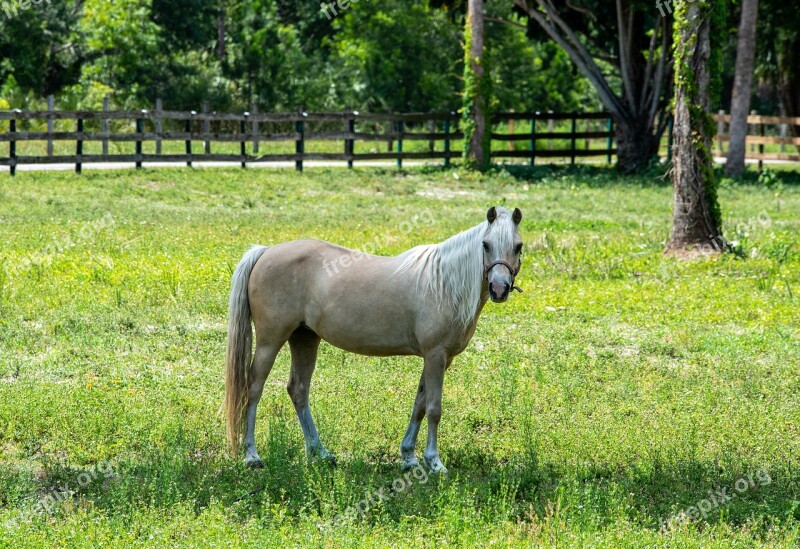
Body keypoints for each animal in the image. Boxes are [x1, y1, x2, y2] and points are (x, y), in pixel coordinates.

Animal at [225, 204, 524, 470]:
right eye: (485, 244)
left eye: (518, 246)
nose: (499, 288)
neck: (443, 283)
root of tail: (265, 251)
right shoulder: (436, 355)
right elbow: (434, 408)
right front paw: (434, 462)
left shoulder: (437, 359)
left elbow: (419, 404)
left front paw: (408, 457)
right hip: (270, 341)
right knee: (253, 388)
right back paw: (252, 456)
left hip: (304, 338)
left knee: (298, 390)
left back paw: (320, 453)